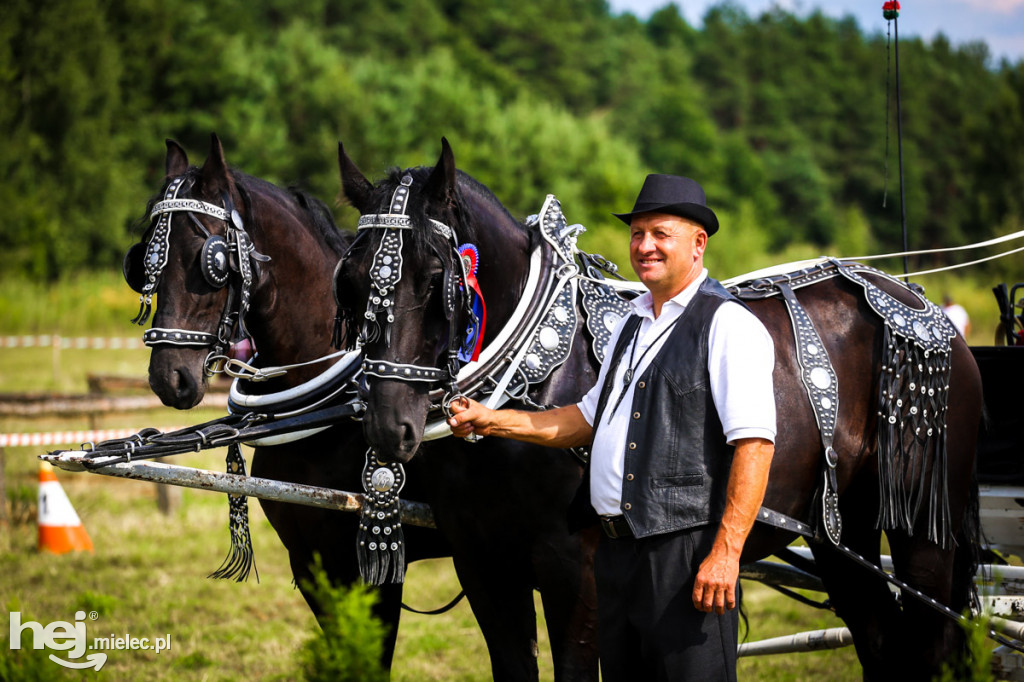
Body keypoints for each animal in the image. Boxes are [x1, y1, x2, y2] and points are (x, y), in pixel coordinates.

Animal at [335, 139, 983, 679]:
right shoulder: (483, 567)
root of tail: (919, 302)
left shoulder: (575, 573)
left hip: (926, 534)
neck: (537, 366)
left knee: (934, 645)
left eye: (437, 281)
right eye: (353, 281)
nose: (389, 428)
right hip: (840, 534)